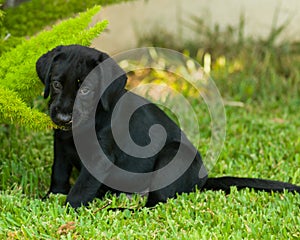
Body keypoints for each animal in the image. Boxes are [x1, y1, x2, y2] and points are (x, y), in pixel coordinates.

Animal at [37, 45, 300, 208]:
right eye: (56, 84)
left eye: (86, 90)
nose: (62, 118)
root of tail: (202, 180)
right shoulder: (61, 147)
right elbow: (58, 175)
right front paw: (48, 199)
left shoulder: (99, 157)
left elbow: (80, 189)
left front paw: (65, 209)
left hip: (172, 154)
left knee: (153, 204)